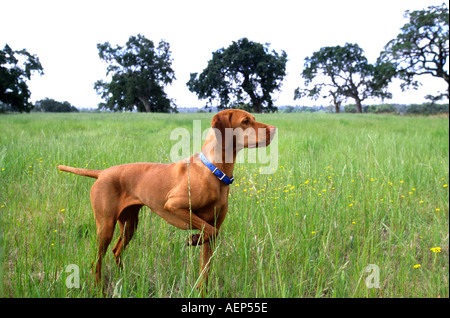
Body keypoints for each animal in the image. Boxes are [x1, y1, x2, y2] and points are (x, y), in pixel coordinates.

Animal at [58, 109, 276, 296]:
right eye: (245, 121)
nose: (274, 129)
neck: (213, 171)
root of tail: (102, 173)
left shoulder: (212, 228)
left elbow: (205, 267)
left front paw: (202, 291)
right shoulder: (173, 206)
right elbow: (210, 231)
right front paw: (192, 239)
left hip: (129, 224)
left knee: (116, 250)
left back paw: (124, 278)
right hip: (106, 226)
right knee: (96, 261)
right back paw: (99, 290)